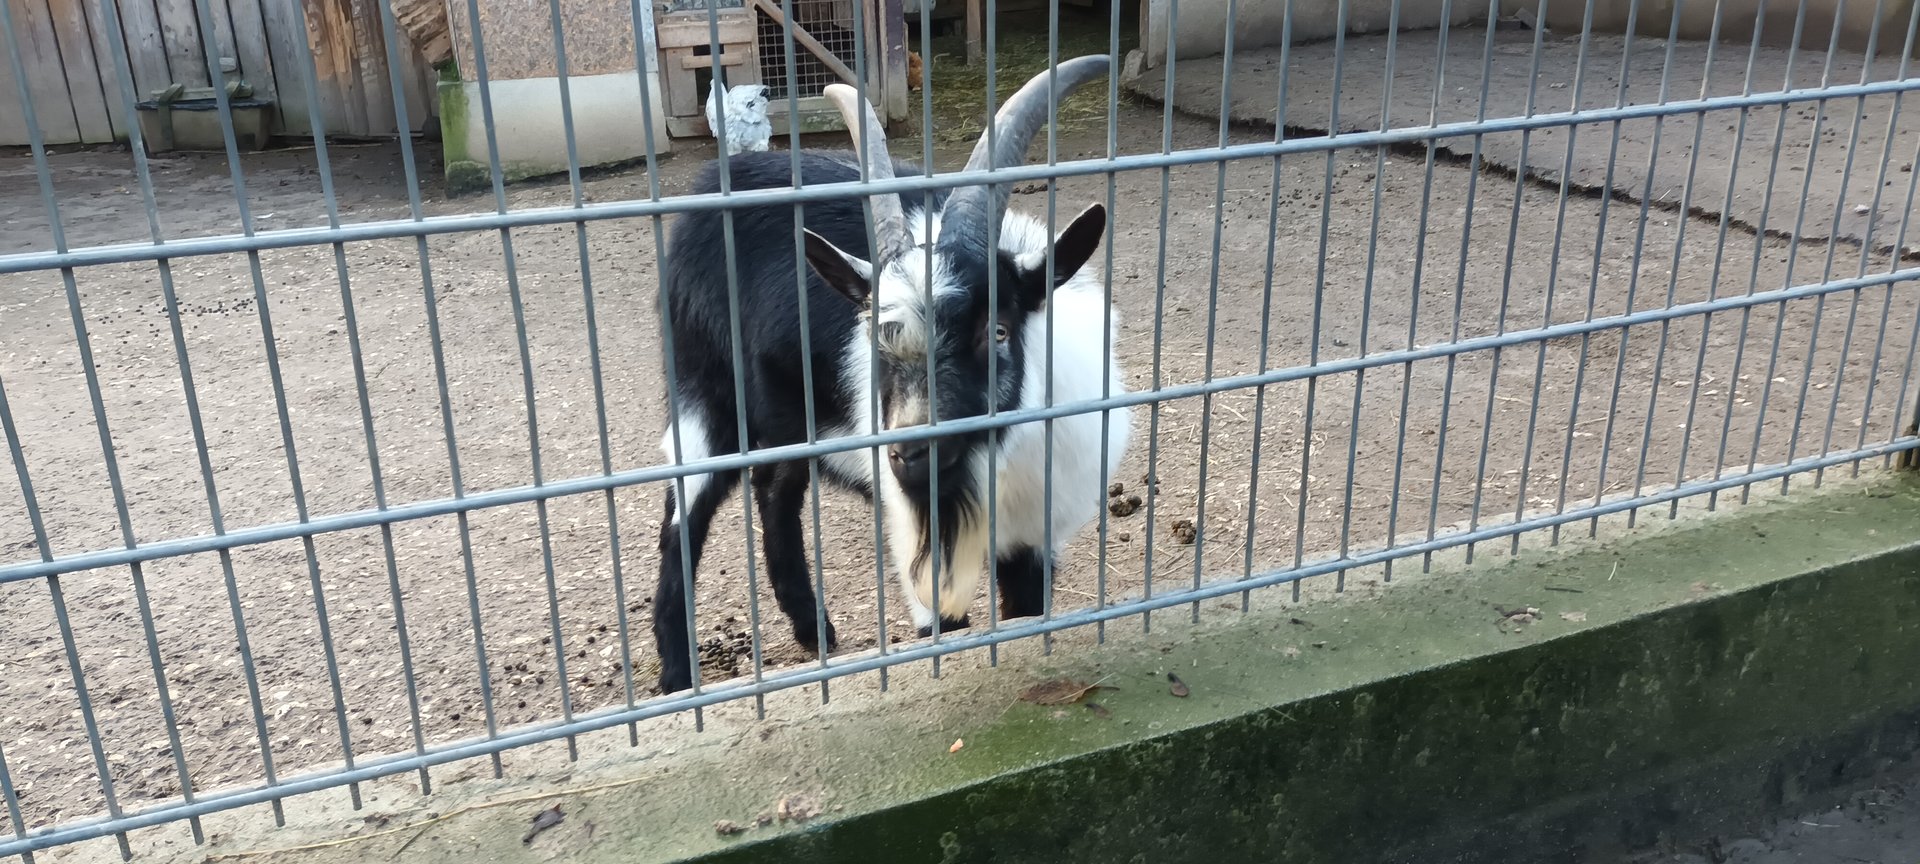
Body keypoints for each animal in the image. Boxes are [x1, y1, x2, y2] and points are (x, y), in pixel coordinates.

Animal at [649, 56, 1131, 696]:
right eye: (876, 336)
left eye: (998, 330)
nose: (910, 452)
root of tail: (712, 188)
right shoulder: (916, 543)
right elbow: (944, 629)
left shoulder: (1038, 535)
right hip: (707, 395)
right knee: (684, 514)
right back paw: (679, 678)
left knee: (775, 492)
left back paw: (813, 631)